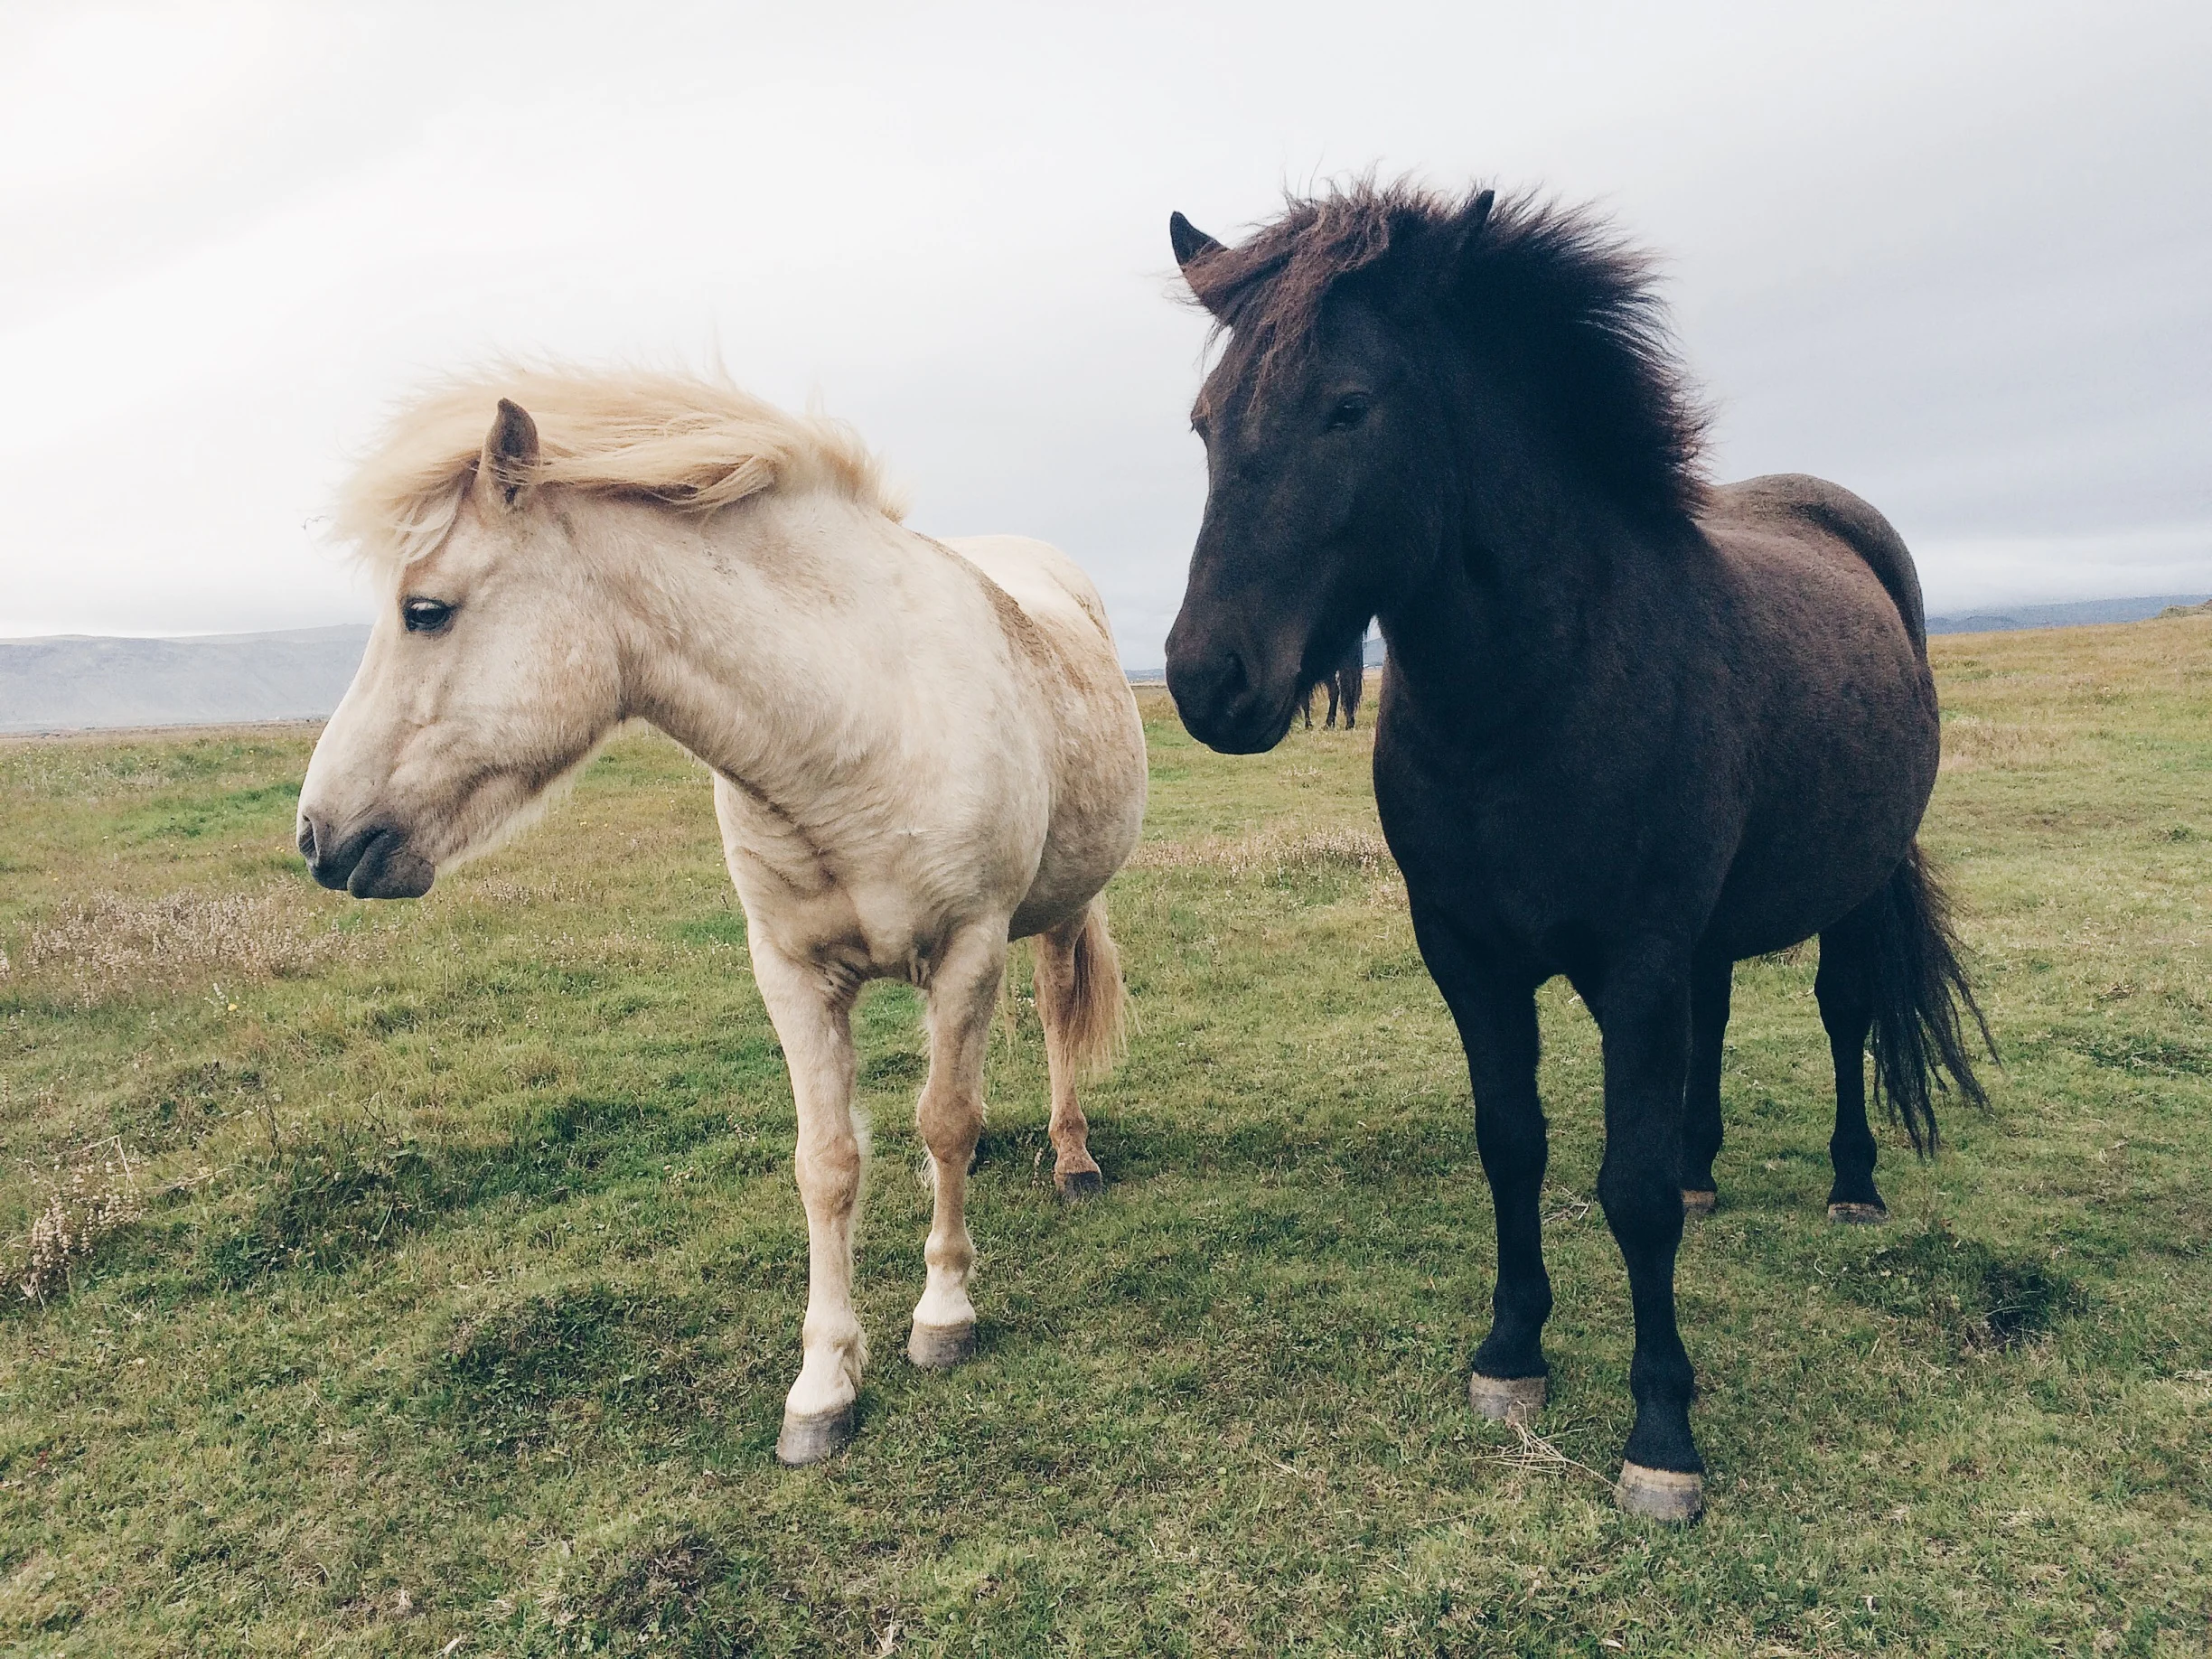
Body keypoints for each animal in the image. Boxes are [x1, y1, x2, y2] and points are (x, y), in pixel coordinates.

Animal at [295, 367, 1147, 1466]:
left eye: (426, 611)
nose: (318, 835)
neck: (853, 726)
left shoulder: (966, 951)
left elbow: (946, 1120)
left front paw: (943, 1316)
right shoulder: (791, 974)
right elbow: (829, 1165)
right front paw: (822, 1388)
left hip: (1055, 913)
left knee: (1052, 1013)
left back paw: (1071, 1154)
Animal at [1160, 181, 1991, 1520]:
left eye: (1348, 407)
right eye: (1204, 423)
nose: (1207, 680)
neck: (1534, 692)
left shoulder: (1635, 960)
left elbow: (1630, 1193)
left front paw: (1662, 1435)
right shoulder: (1469, 956)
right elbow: (1514, 1146)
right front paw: (1511, 1356)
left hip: (1855, 888)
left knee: (1844, 1012)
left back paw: (1853, 1182)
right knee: (1718, 1020)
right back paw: (1711, 1168)